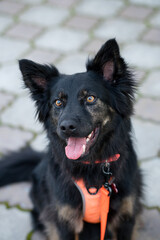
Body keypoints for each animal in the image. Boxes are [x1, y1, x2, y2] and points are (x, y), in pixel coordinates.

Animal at [0, 39, 142, 240]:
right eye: (58, 102)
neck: (91, 166)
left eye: (90, 98)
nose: (66, 127)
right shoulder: (64, 221)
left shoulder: (125, 218)